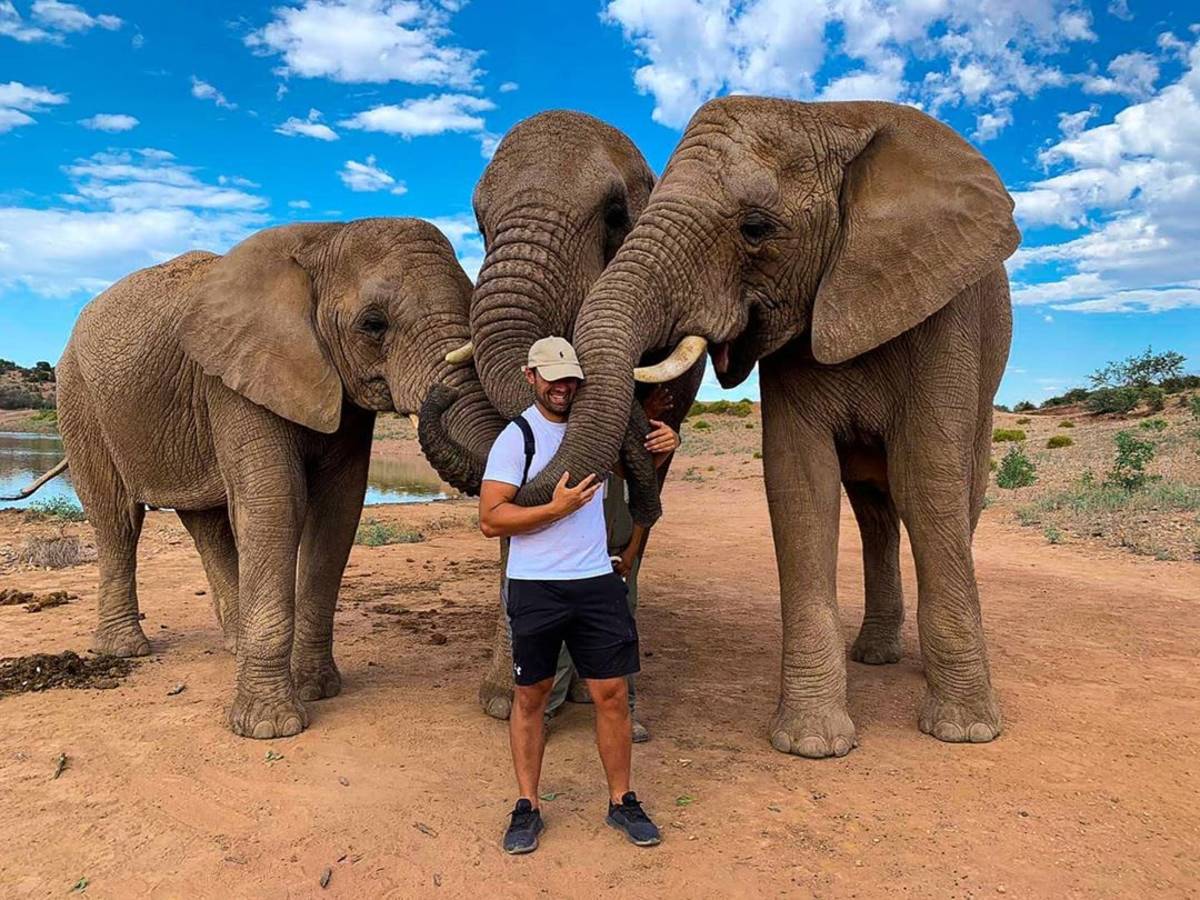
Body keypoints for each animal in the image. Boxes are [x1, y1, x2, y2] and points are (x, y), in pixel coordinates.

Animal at [49, 218, 503, 738]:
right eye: (373, 324)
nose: (440, 395)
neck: (326, 236)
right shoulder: (236, 377)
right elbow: (276, 503)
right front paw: (269, 727)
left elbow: (338, 511)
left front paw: (318, 690)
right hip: (80, 399)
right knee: (118, 519)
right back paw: (125, 649)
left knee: (205, 523)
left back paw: (233, 644)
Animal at [511, 97, 1021, 758]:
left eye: (755, 228)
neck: (833, 117)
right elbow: (800, 481)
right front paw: (812, 744)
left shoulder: (943, 311)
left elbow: (928, 477)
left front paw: (965, 732)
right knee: (874, 513)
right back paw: (874, 656)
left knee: (954, 497)